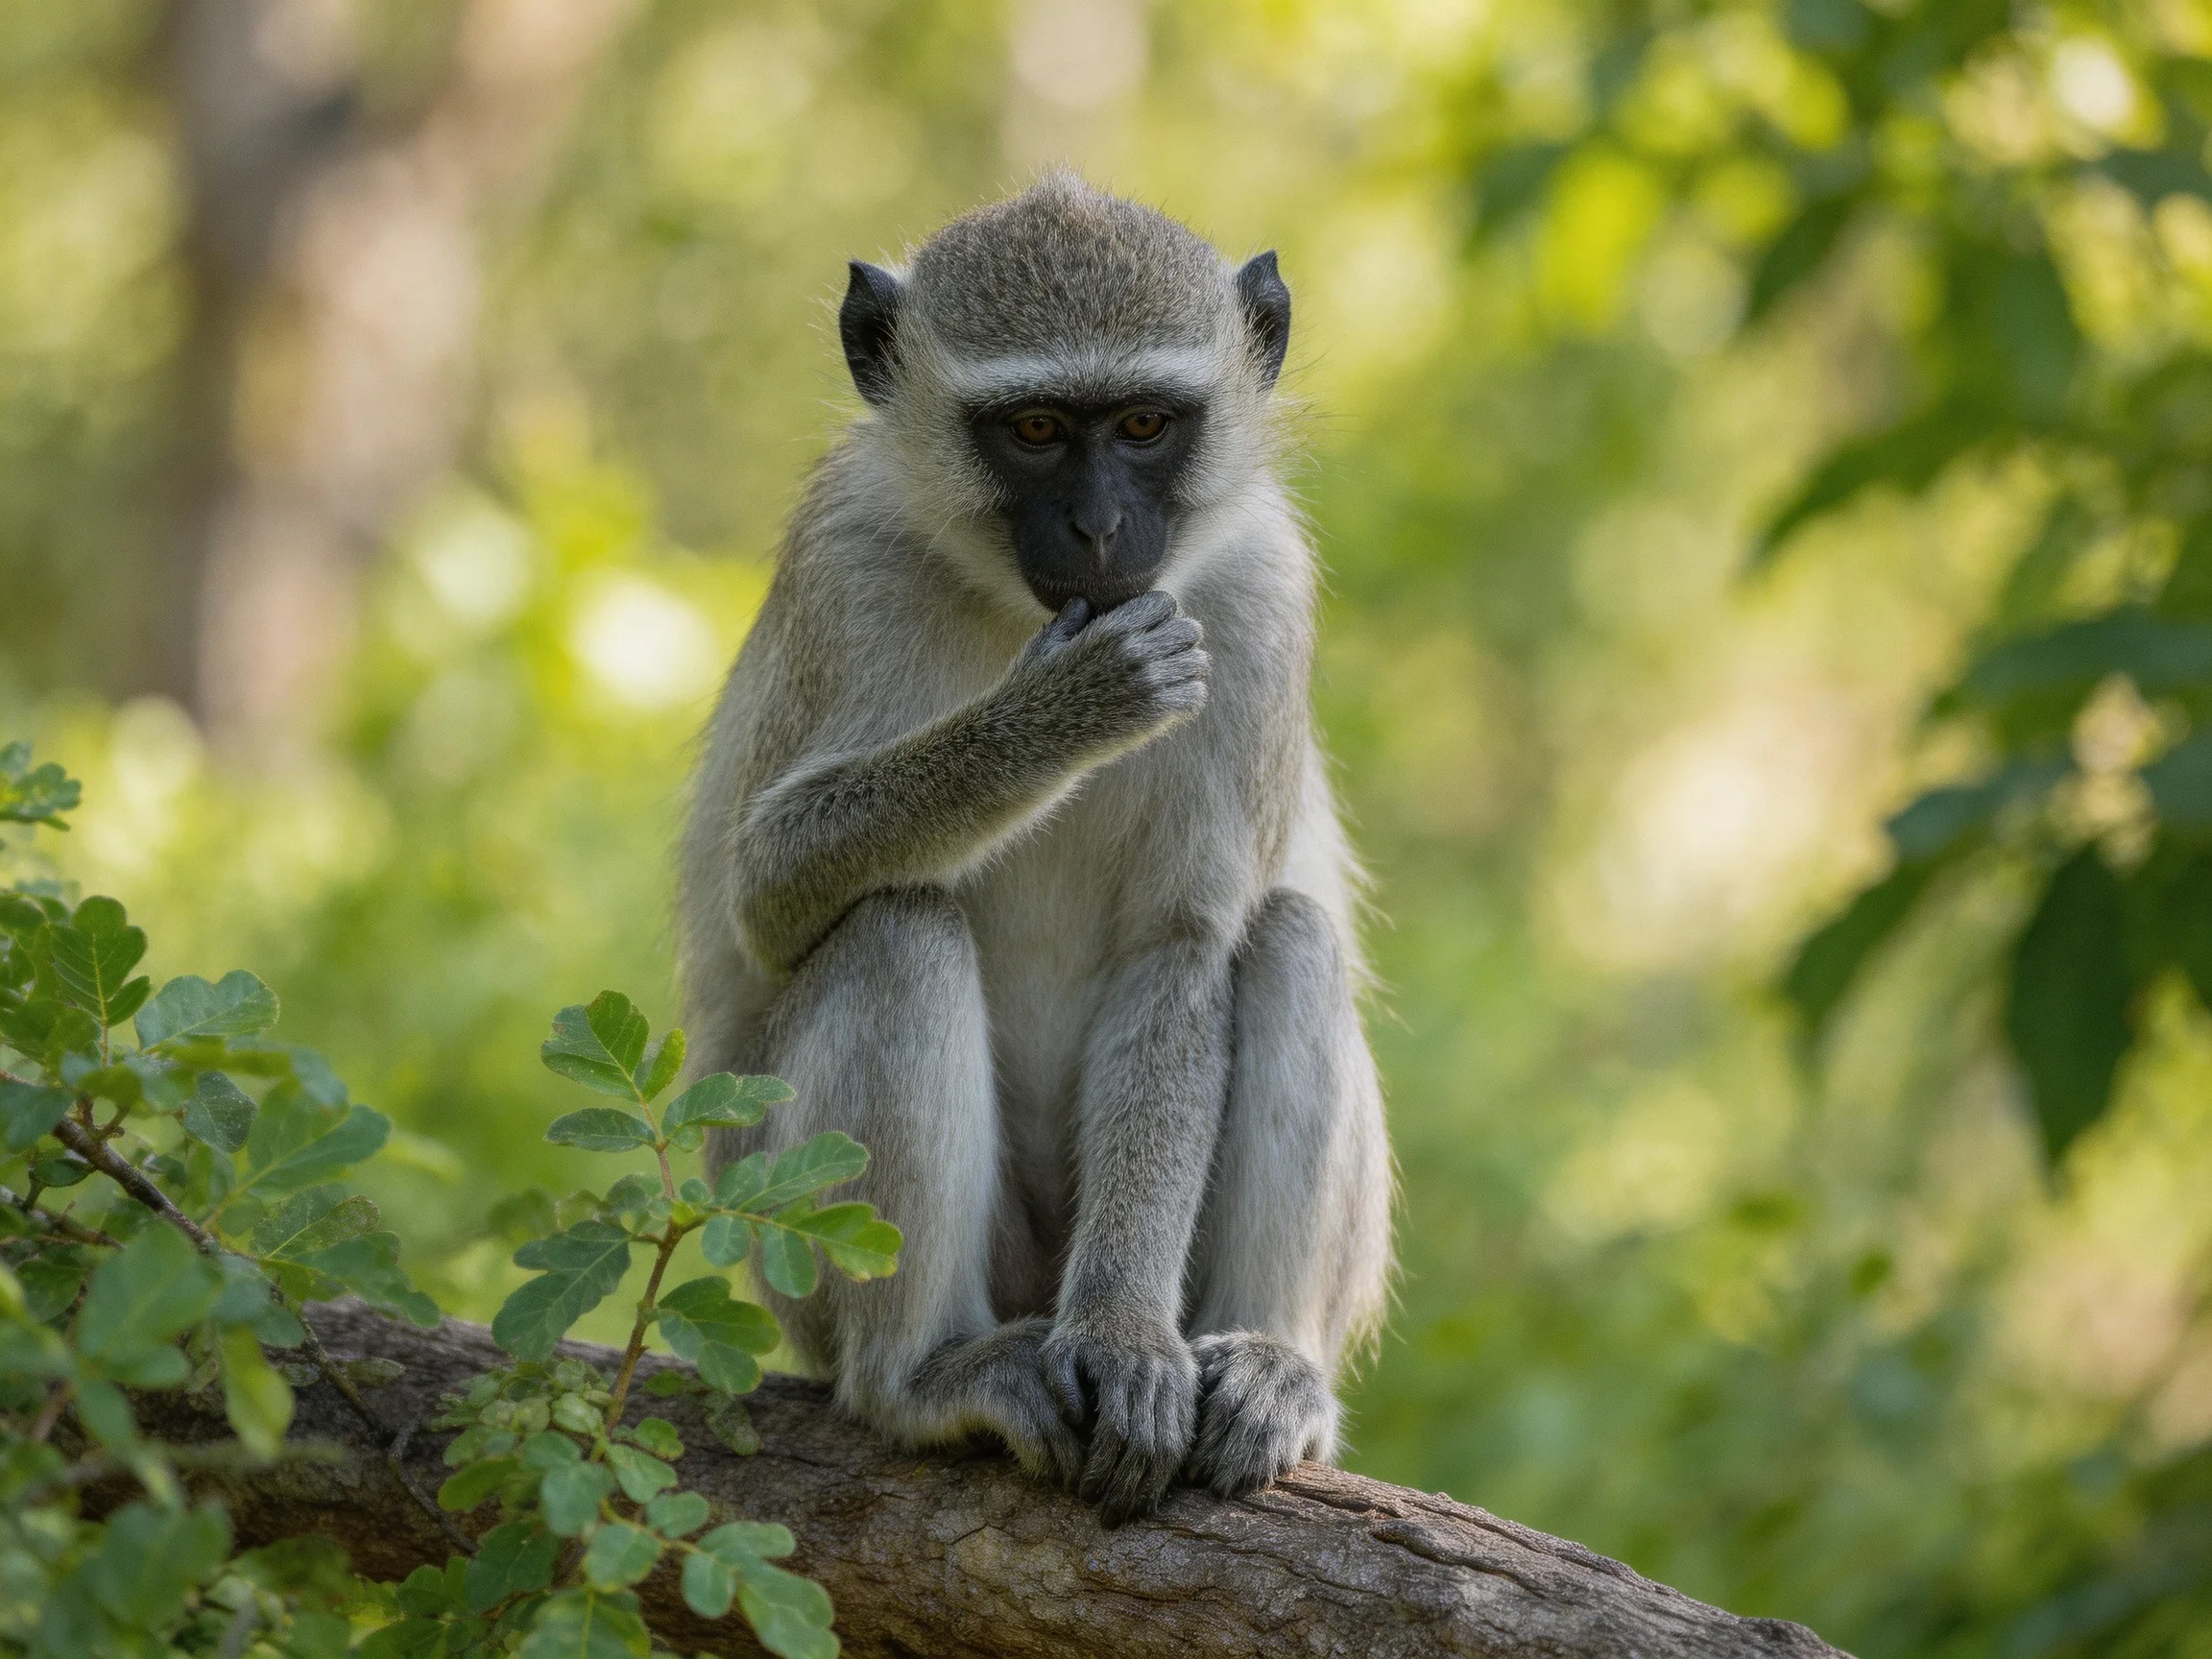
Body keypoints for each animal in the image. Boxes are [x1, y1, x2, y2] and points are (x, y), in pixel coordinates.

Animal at [679, 172, 1391, 1523]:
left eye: (1146, 424)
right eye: (1038, 430)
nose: (1102, 530)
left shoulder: (1266, 597)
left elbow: (1183, 945)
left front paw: (1122, 1337)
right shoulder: (844, 561)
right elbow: (767, 891)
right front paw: (1057, 717)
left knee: (1287, 939)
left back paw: (1272, 1369)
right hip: (787, 1251)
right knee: (895, 929)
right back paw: (924, 1374)